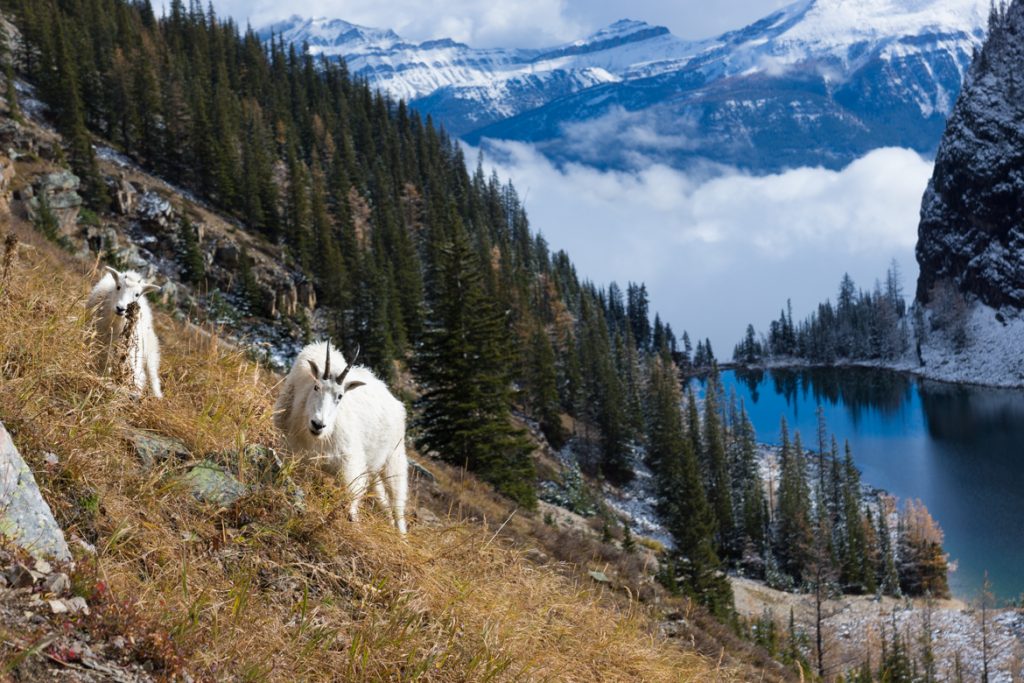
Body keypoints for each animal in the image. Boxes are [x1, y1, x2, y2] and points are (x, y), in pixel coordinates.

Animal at [87, 264, 161, 397]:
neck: (114, 322)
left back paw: (156, 395)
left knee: (152, 374)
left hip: (147, 349)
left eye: (137, 294)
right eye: (118, 286)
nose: (121, 308)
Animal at [276, 342, 411, 532]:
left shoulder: (350, 460)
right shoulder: (292, 450)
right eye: (316, 387)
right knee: (381, 496)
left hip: (394, 457)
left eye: (340, 396)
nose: (318, 424)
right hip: (373, 466)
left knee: (397, 499)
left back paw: (401, 534)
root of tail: (398, 404)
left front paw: (350, 519)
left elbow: (352, 492)